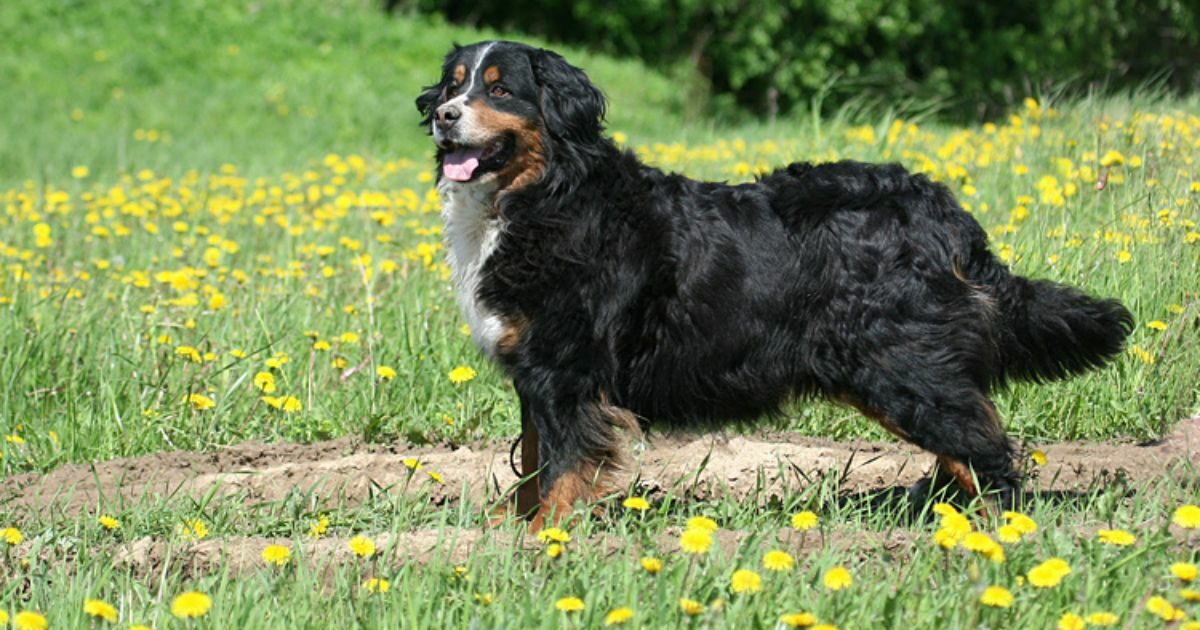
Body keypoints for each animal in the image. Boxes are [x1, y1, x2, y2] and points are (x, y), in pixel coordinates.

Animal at [415, 41, 1132, 528]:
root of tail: (939, 207)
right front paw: (510, 530)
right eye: (454, 84)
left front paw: (546, 539)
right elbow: (535, 459)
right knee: (966, 439)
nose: (444, 114)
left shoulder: (565, 368)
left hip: (899, 364)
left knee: (985, 447)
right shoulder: (534, 370)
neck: (540, 198)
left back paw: (987, 531)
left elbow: (561, 464)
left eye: (501, 91)